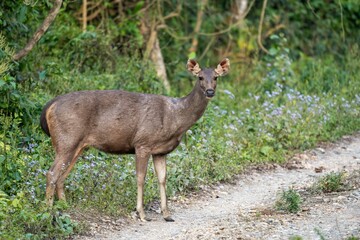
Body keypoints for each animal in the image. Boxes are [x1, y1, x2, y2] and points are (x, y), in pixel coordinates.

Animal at [40, 57, 231, 221]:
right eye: (200, 77)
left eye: (216, 77)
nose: (210, 91)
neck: (175, 118)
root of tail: (50, 106)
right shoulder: (142, 143)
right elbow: (141, 178)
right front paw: (142, 213)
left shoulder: (160, 151)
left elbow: (162, 178)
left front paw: (167, 214)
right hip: (67, 139)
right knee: (52, 173)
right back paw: (47, 211)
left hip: (77, 145)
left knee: (62, 176)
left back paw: (64, 207)